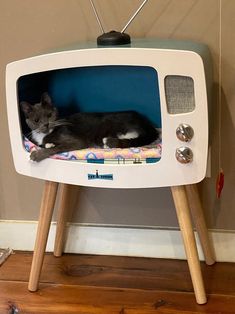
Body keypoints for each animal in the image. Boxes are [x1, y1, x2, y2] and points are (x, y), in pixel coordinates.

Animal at [20, 92, 160, 162]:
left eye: (49, 115)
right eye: (36, 120)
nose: (46, 124)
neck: (44, 134)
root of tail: (147, 123)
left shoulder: (76, 141)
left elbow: (57, 148)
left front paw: (37, 155)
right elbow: (47, 144)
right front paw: (48, 144)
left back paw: (108, 143)